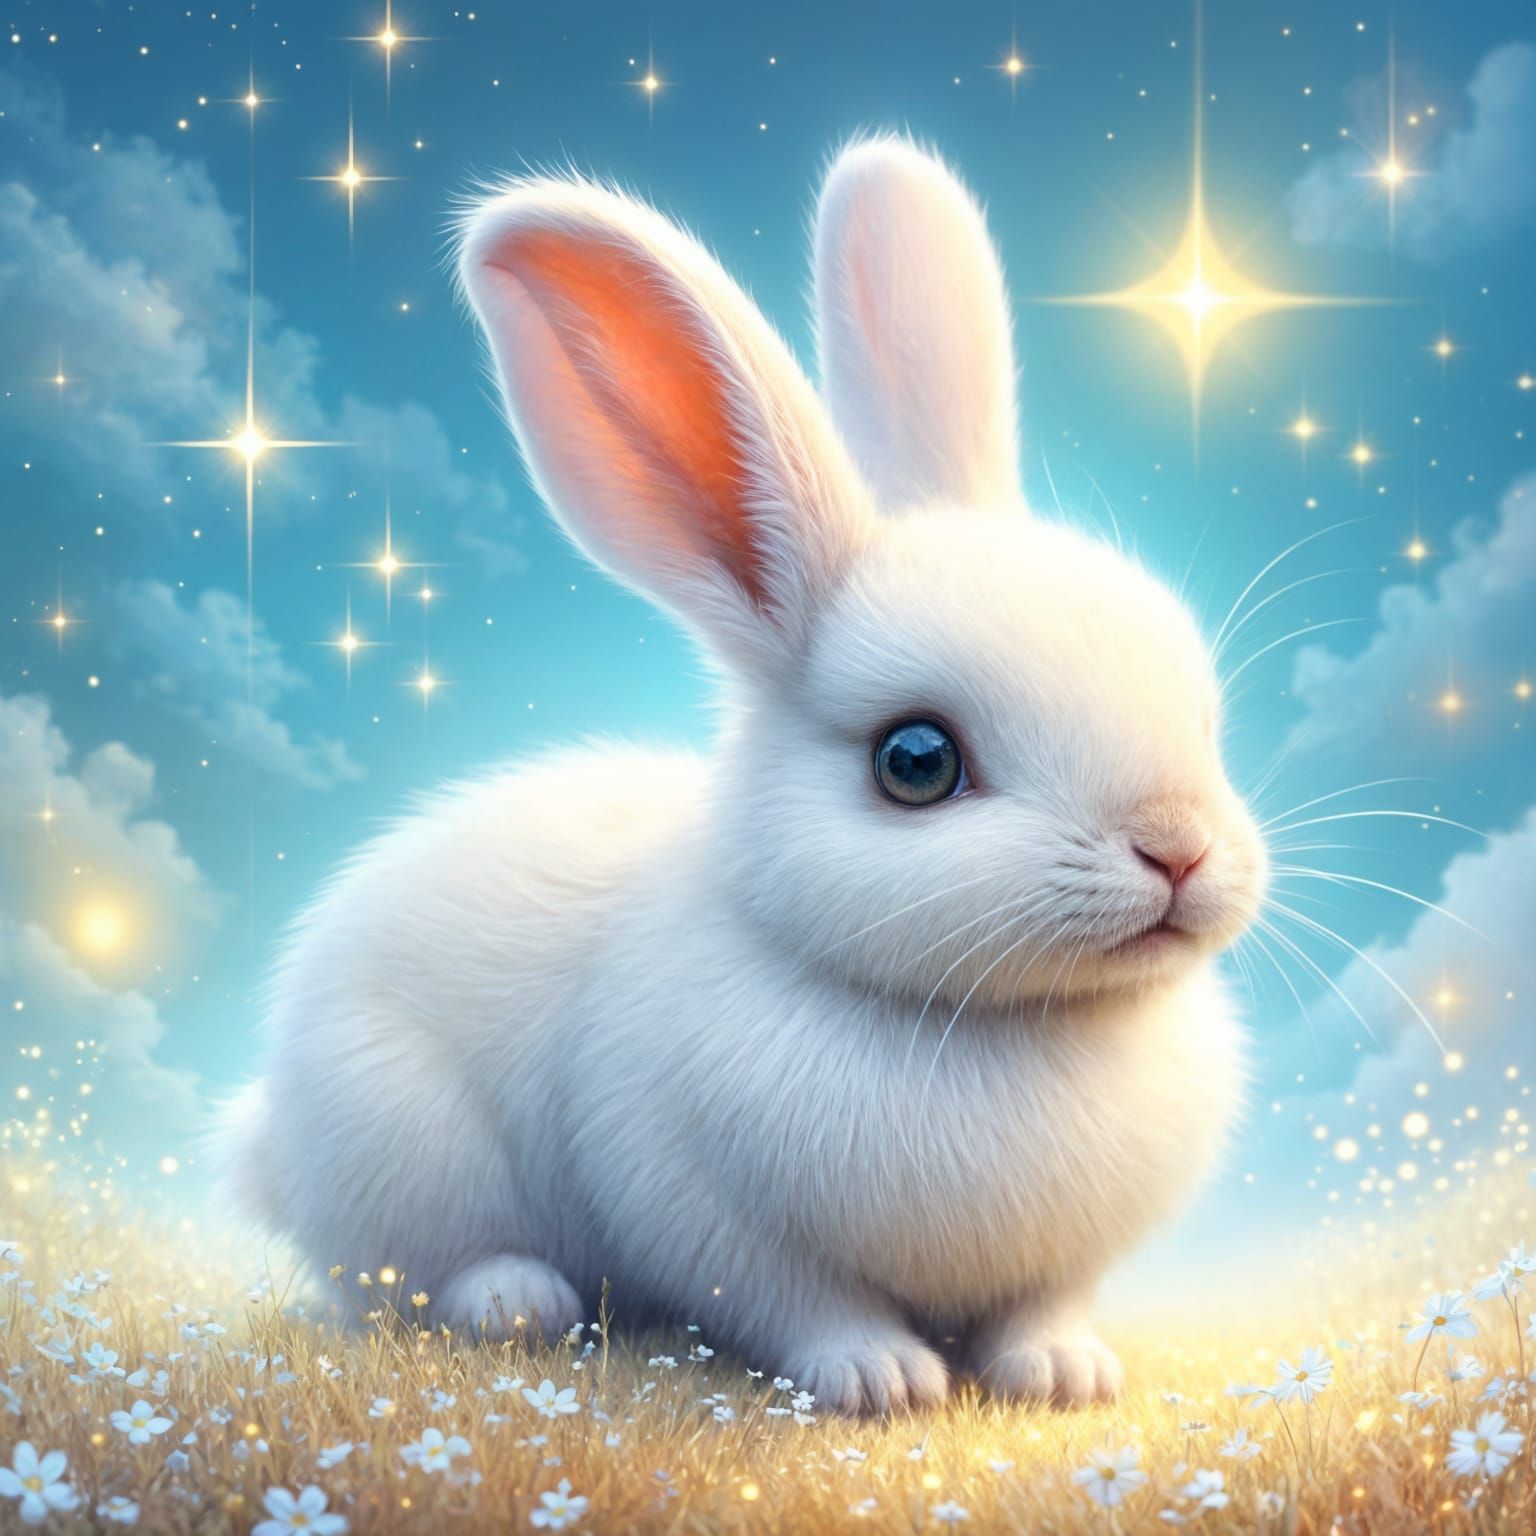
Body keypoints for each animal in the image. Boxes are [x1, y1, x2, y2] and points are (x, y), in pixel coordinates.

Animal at [225, 135, 1266, 1415]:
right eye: (916, 762)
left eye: (1205, 716)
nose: (1179, 848)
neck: (1001, 1022)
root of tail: (273, 1136)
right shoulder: (695, 1202)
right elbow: (797, 1302)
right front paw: (884, 1380)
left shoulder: (1064, 1254)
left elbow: (1046, 1304)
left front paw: (1065, 1373)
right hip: (399, 1142)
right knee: (406, 1274)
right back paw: (516, 1300)